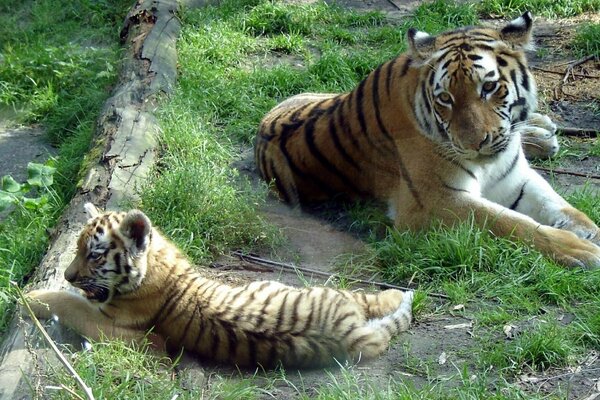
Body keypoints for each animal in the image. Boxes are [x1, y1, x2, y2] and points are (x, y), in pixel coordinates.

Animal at [25, 203, 414, 368]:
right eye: (76, 249)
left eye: (93, 254)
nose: (68, 275)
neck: (157, 262)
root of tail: (352, 336)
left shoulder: (120, 326)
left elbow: (72, 304)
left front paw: (29, 296)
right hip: (324, 294)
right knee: (368, 300)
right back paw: (401, 293)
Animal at [254, 12, 600, 268]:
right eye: (445, 98)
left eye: (489, 87)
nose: (474, 143)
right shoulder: (434, 201)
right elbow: (511, 223)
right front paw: (580, 250)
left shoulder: (514, 177)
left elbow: (554, 202)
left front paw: (586, 228)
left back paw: (541, 131)